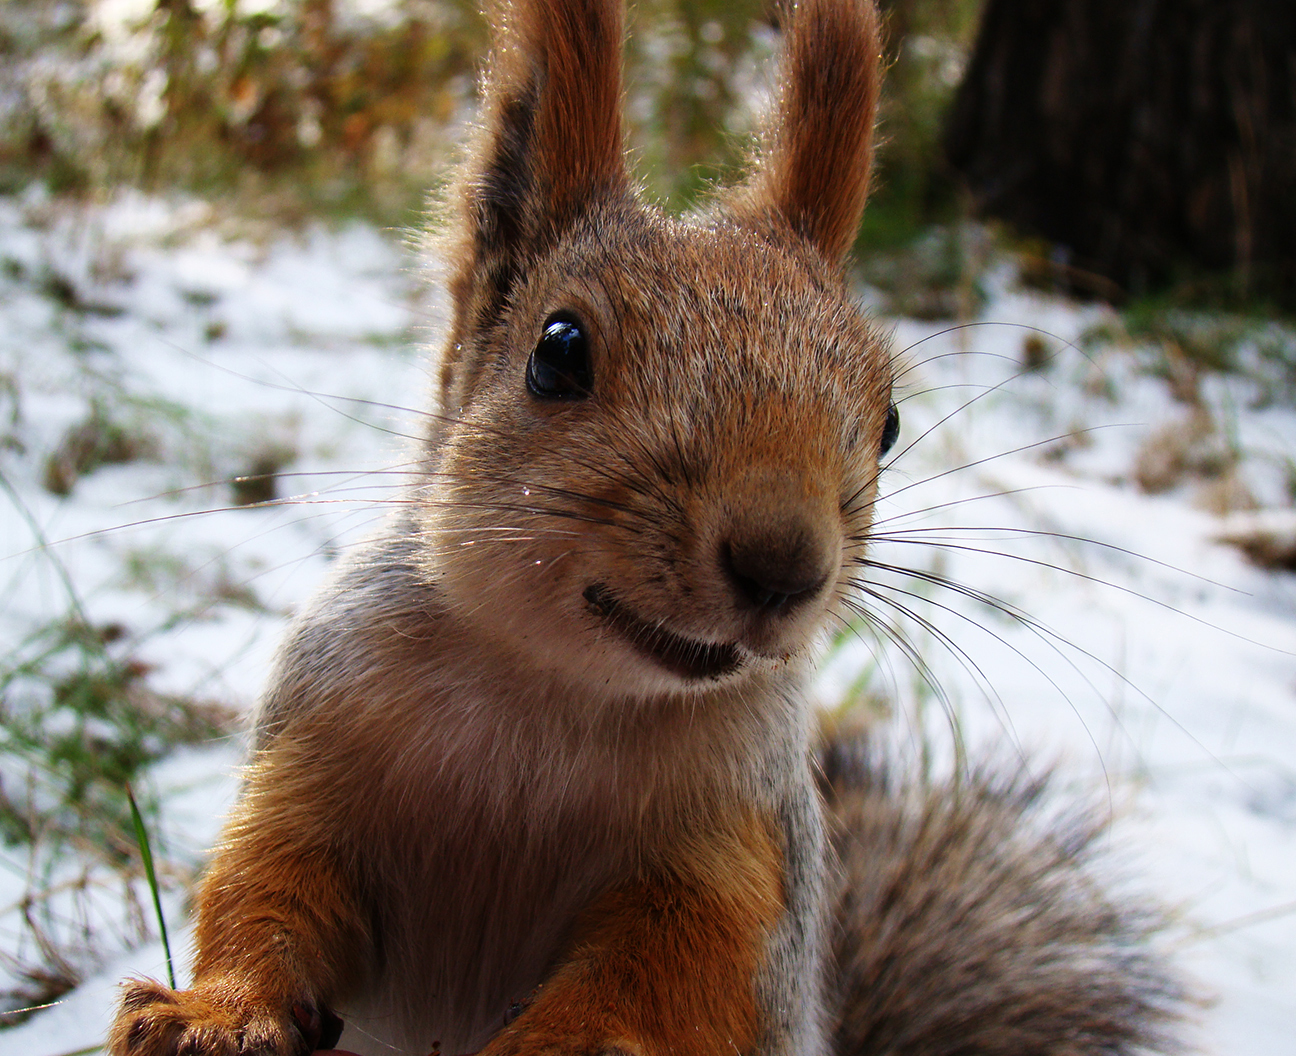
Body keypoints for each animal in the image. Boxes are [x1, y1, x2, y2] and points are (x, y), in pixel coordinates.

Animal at [108, 2, 1187, 1056]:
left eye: (887, 421)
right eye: (557, 352)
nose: (784, 564)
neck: (552, 694)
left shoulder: (739, 846)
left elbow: (672, 968)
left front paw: (566, 1042)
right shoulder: (319, 745)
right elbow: (270, 890)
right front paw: (214, 1013)